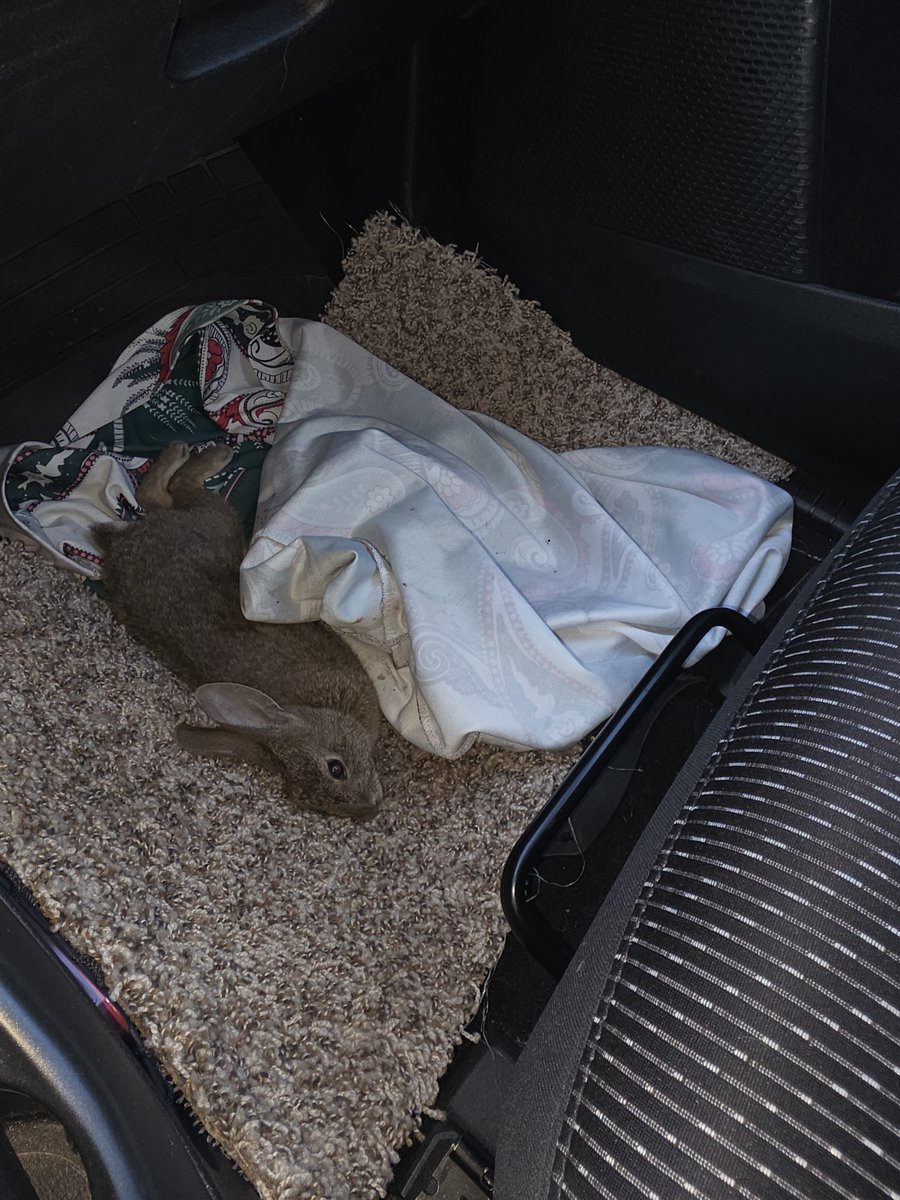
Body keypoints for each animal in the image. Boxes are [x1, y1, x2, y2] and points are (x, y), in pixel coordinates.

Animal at [93, 440, 383, 819]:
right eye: (337, 770)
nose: (371, 810)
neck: (314, 707)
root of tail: (116, 546)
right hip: (218, 522)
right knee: (174, 490)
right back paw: (208, 453)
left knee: (153, 496)